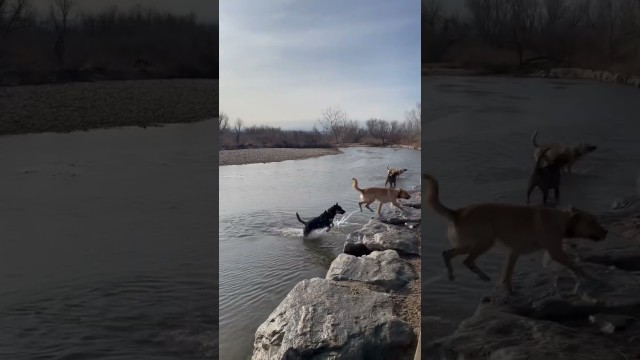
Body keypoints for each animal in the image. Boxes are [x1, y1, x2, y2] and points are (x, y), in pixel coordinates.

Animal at [422, 173, 608, 294]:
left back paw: (453, 274)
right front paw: (595, 279)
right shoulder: (556, 253)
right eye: (592, 222)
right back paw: (481, 276)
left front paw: (508, 290)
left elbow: (508, 274)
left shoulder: (514, 252)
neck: (562, 221)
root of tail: (457, 213)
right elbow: (577, 267)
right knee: (463, 259)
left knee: (449, 254)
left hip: (473, 244)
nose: (606, 232)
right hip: (483, 242)